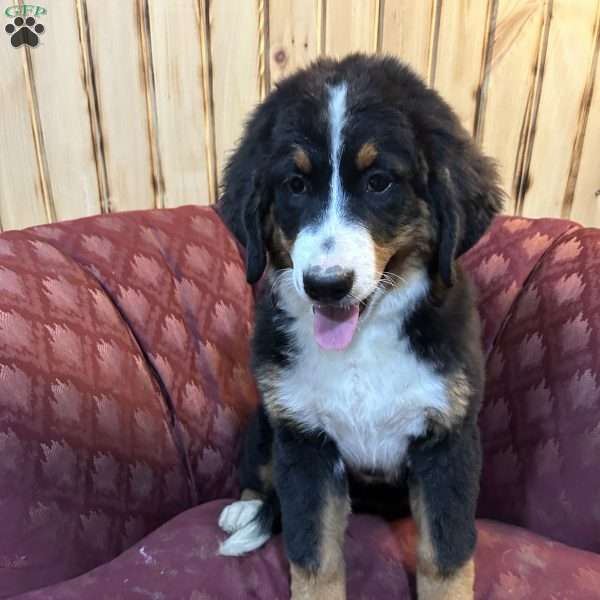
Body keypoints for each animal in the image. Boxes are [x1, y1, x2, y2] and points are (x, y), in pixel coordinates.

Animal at [217, 54, 506, 596]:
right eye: (295, 186)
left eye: (379, 182)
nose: (325, 285)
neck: (361, 345)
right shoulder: (303, 441)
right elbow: (314, 559)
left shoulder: (448, 441)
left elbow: (446, 557)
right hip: (265, 419)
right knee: (257, 471)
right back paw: (244, 509)